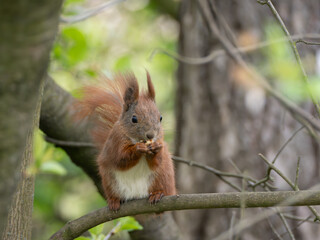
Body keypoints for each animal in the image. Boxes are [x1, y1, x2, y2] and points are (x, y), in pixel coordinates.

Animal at [74, 71, 175, 210]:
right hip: (109, 181)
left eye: (160, 118)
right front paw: (138, 149)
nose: (150, 135)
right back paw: (114, 201)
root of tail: (136, 195)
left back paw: (157, 194)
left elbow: (157, 161)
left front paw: (156, 148)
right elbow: (120, 158)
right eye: (134, 119)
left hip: (162, 177)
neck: (136, 139)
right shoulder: (115, 142)